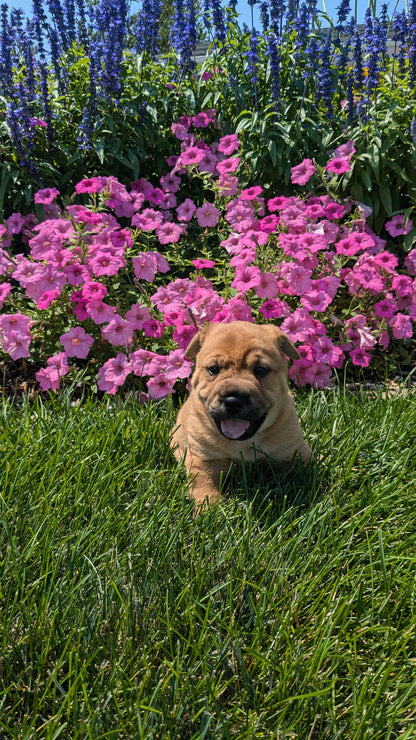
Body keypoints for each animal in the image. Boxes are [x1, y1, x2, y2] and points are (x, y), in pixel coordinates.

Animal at [171, 320, 310, 506]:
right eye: (213, 369)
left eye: (260, 370)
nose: (233, 400)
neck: (244, 443)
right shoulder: (203, 459)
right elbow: (203, 487)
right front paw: (209, 508)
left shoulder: (296, 449)